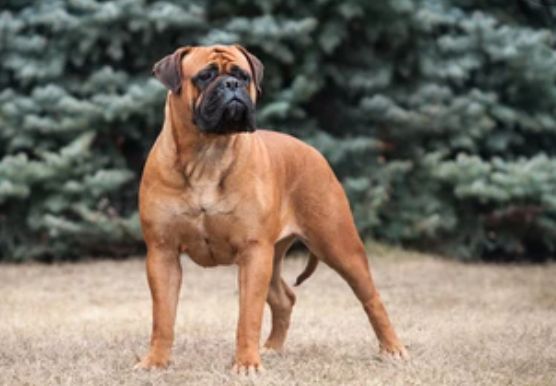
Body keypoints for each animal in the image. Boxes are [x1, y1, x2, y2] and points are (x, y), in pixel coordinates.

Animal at [137, 43, 406, 372]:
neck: (207, 155)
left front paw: (246, 364)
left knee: (371, 298)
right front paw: (155, 361)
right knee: (283, 299)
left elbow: (248, 316)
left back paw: (393, 348)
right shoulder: (162, 252)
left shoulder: (253, 253)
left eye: (243, 75)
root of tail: (314, 152)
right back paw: (273, 348)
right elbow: (163, 316)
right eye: (205, 76)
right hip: (276, 254)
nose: (232, 85)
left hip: (338, 245)